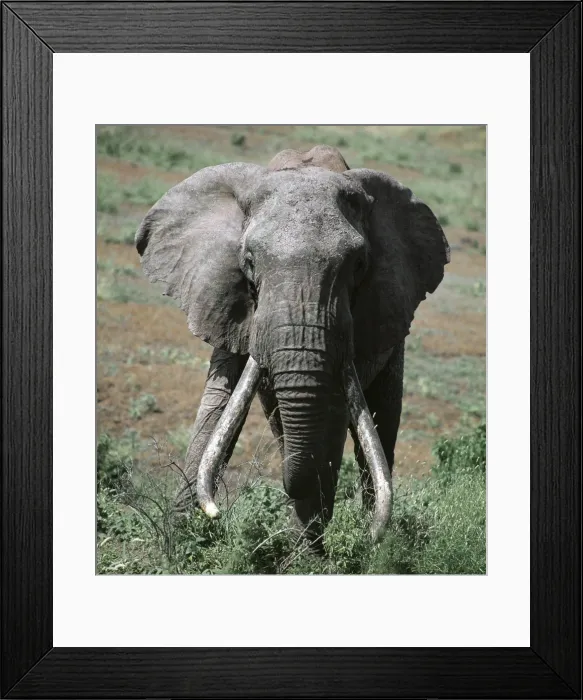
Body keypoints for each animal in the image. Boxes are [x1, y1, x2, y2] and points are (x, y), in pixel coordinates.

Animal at [135, 144, 450, 547]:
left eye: (358, 265)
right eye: (249, 262)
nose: (216, 513)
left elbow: (333, 413)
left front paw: (306, 551)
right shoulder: (222, 295)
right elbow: (220, 404)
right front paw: (180, 541)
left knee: (380, 421)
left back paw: (372, 540)